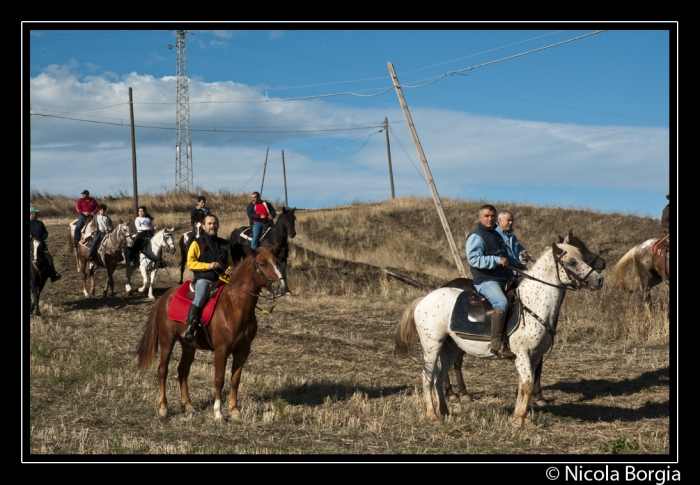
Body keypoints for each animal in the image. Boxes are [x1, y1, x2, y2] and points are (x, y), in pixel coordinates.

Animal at [135, 244, 288, 422]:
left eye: (277, 262)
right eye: (263, 264)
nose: (281, 287)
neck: (235, 307)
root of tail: (164, 298)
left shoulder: (243, 351)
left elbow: (235, 379)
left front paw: (234, 411)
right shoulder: (221, 350)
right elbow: (219, 379)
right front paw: (218, 413)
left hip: (188, 346)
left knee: (183, 371)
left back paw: (188, 406)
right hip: (167, 341)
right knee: (162, 370)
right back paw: (163, 408)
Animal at [396, 242, 604, 428]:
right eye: (572, 262)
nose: (599, 279)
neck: (534, 304)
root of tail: (424, 299)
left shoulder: (534, 356)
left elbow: (522, 385)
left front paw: (518, 416)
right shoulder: (523, 354)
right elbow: (528, 385)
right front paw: (519, 421)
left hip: (450, 348)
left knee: (439, 377)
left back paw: (445, 413)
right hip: (432, 346)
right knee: (427, 378)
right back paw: (432, 416)